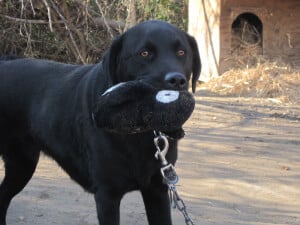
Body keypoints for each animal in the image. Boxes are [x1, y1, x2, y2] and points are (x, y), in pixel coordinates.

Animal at [0, 20, 202, 224]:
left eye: (181, 52)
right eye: (144, 53)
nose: (177, 80)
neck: (138, 131)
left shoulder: (157, 190)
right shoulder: (107, 195)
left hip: (22, 164)